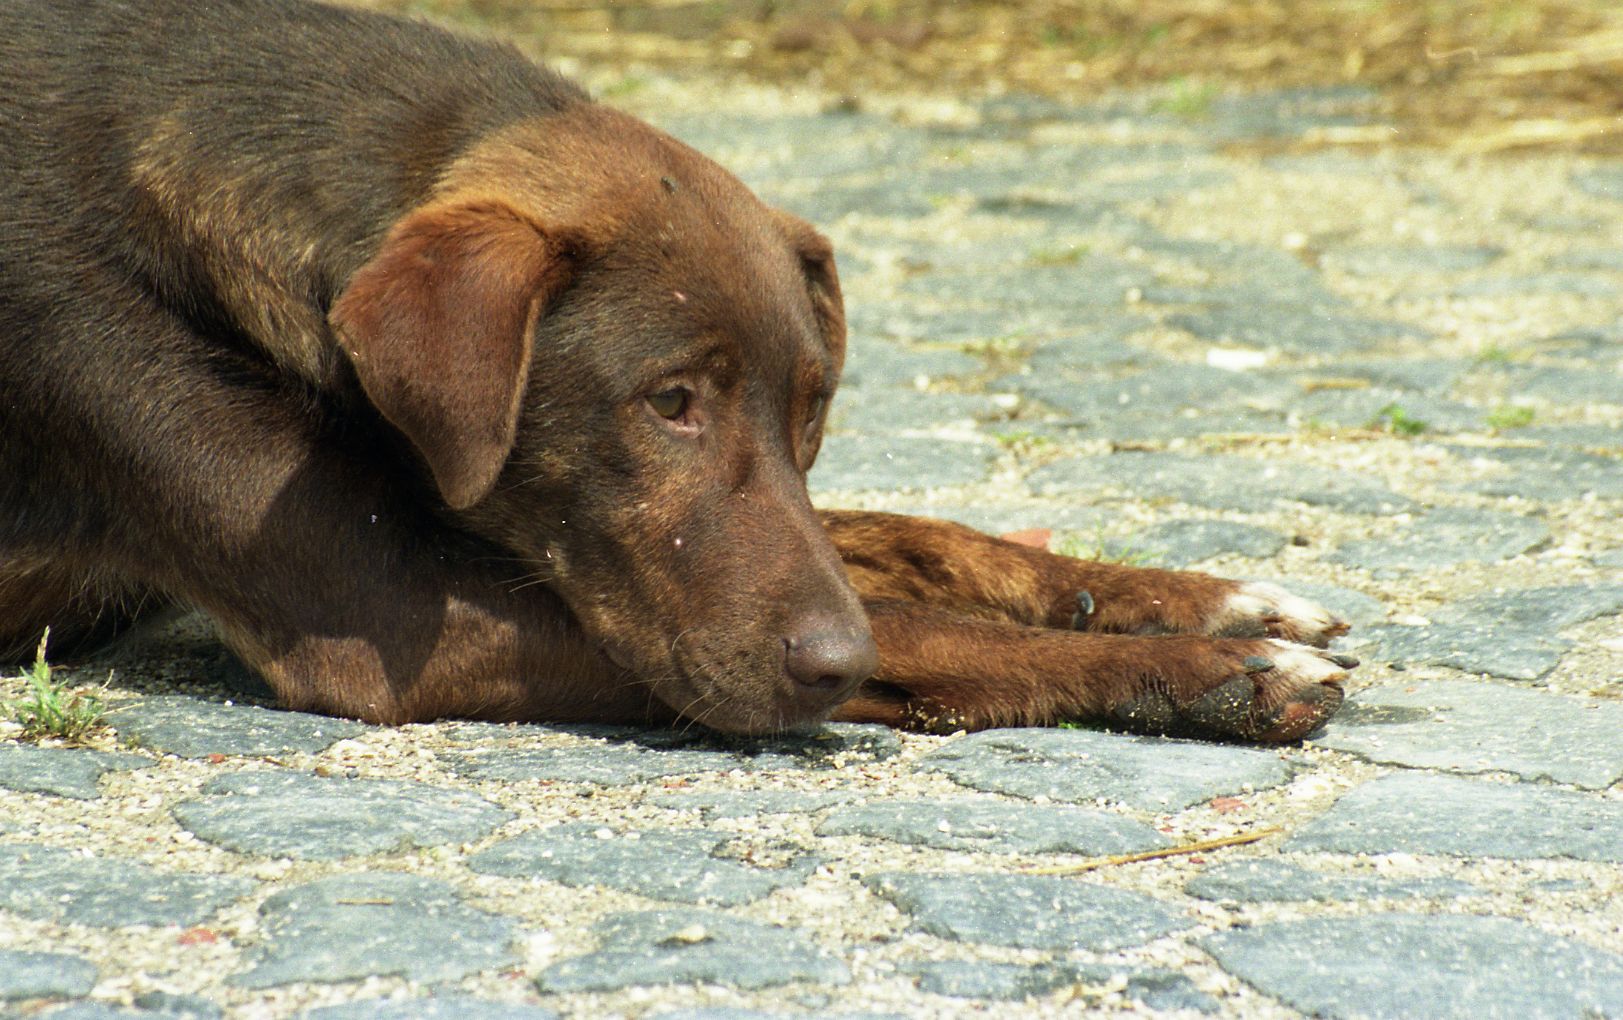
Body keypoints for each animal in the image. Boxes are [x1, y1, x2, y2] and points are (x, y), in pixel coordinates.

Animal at [0, 0, 1350, 740]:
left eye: (813, 412)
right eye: (667, 405)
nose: (833, 665)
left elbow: (921, 543)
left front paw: (1202, 600)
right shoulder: (392, 617)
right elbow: (926, 628)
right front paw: (1206, 674)